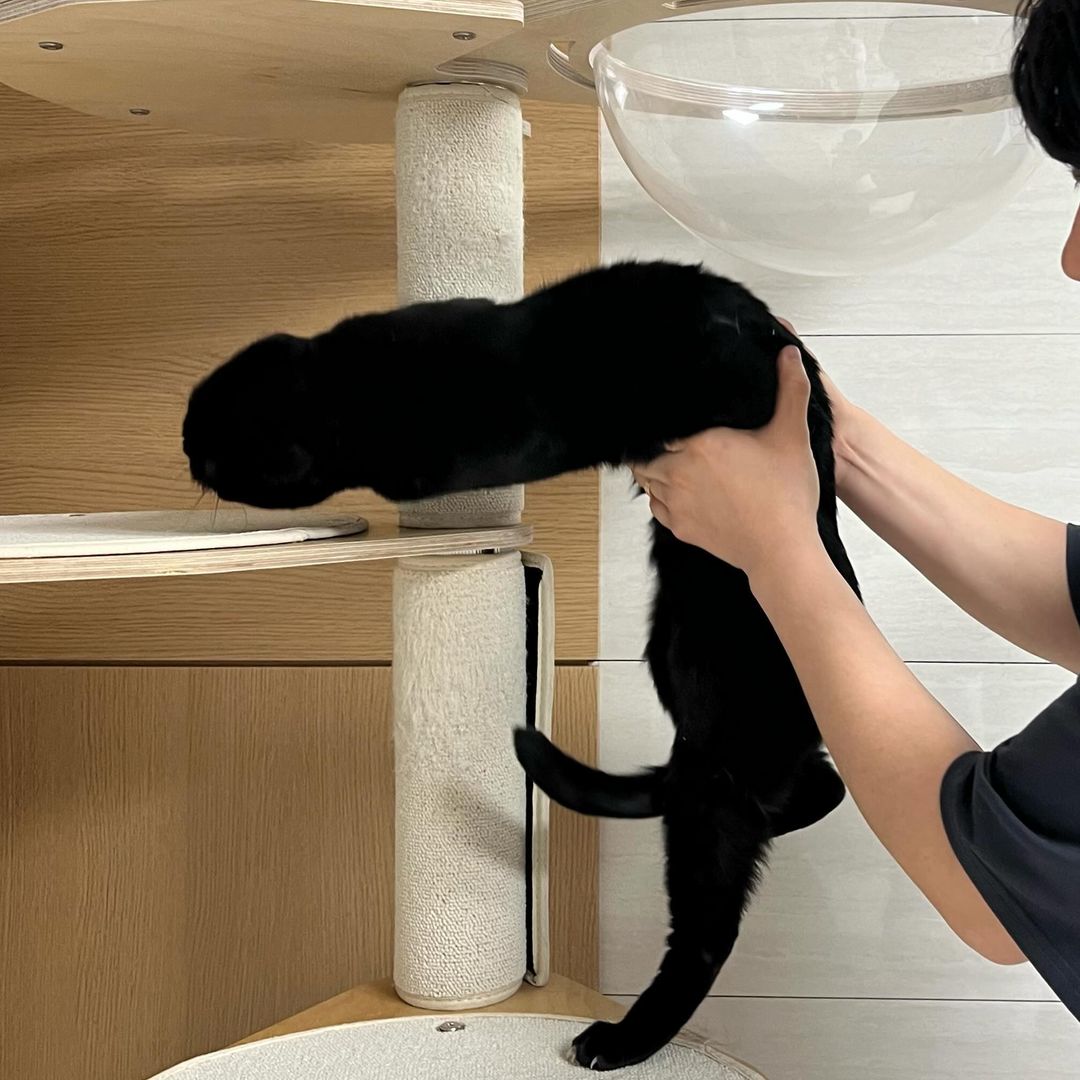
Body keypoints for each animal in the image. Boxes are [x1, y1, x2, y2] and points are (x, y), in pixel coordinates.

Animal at [182, 260, 861, 1071]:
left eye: (209, 448)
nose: (180, 446)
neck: (367, 376)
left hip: (710, 753)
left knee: (706, 929)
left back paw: (619, 1041)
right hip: (677, 671)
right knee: (814, 788)